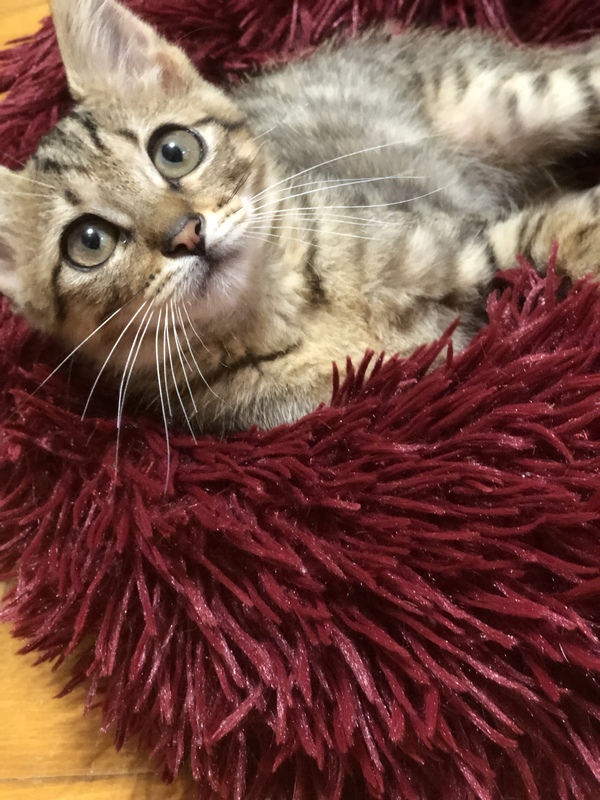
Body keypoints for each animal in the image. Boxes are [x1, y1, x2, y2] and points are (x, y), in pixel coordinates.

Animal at [1, 0, 600, 434]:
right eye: (90, 242)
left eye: (174, 150)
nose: (185, 232)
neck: (298, 311)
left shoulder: (463, 236)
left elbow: (552, 233)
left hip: (527, 97)